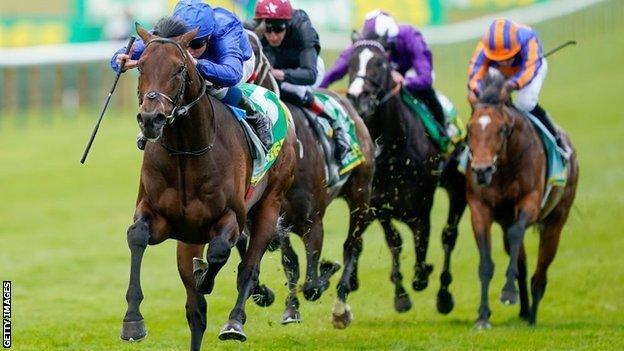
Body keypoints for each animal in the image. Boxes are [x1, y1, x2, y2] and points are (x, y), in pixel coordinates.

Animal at [122, 22, 298, 350]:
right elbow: (137, 236)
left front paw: (205, 276)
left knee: (248, 267)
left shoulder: (231, 217)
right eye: (140, 66)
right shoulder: (158, 217)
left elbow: (219, 253)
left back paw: (234, 321)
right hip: (189, 237)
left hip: (270, 203)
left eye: (179, 68)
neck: (186, 153)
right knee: (196, 313)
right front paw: (133, 321)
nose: (151, 119)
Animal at [336, 39, 468, 328]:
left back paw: (444, 294)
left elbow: (422, 239)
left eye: (380, 64)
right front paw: (401, 295)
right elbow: (394, 240)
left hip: (457, 188)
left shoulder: (423, 202)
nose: (358, 97)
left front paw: (421, 275)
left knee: (449, 236)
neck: (395, 148)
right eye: (350, 64)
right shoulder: (378, 202)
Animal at [466, 70, 576, 328]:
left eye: (502, 129)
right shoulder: (479, 208)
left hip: (556, 221)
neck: (504, 166)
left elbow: (518, 233)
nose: (482, 170)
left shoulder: (530, 202)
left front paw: (508, 292)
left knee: (541, 271)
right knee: (523, 264)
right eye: (469, 130)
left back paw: (533, 315)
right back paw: (525, 310)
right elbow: (486, 263)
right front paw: (482, 316)